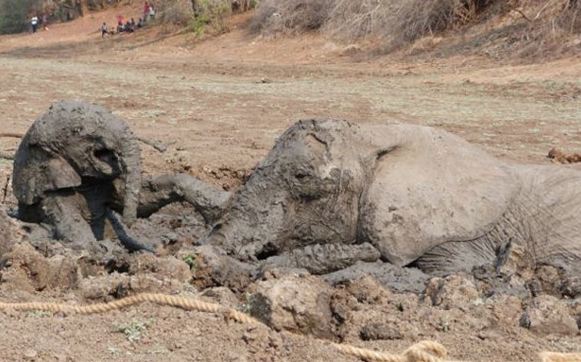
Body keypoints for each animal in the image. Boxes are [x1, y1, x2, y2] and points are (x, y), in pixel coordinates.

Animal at [12, 99, 230, 252]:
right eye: (78, 131)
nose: (128, 222)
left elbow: (144, 201)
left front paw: (222, 203)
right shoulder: (51, 194)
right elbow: (75, 232)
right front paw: (104, 250)